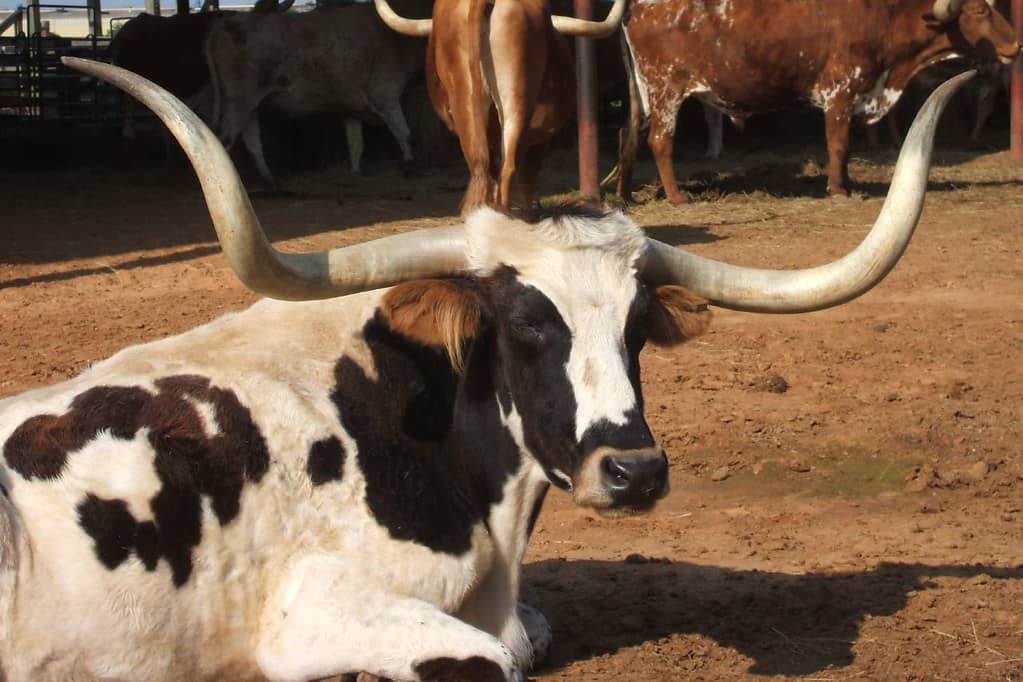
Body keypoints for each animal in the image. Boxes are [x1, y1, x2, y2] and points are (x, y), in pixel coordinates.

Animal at [4, 56, 966, 681]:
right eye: (525, 324)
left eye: (637, 328)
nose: (633, 472)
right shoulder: (314, 611)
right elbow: (497, 658)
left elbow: (528, 635)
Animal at [204, 4, 425, 193]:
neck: (397, 40)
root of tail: (228, 21)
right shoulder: (386, 96)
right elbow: (404, 133)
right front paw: (410, 167)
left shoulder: (351, 107)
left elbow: (356, 144)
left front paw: (355, 173)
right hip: (238, 102)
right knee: (225, 139)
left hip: (250, 105)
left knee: (252, 143)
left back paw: (271, 181)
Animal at [374, 0, 626, 214]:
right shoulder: (541, 140)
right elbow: (527, 178)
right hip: (516, 102)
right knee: (508, 170)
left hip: (466, 101)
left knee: (480, 168)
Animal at [614, 0, 1022, 203]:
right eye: (981, 11)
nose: (1017, 44)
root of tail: (638, 8)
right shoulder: (839, 92)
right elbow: (838, 144)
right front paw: (838, 190)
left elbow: (845, 147)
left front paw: (848, 184)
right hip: (665, 91)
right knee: (660, 142)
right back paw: (677, 196)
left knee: (631, 137)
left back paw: (626, 193)